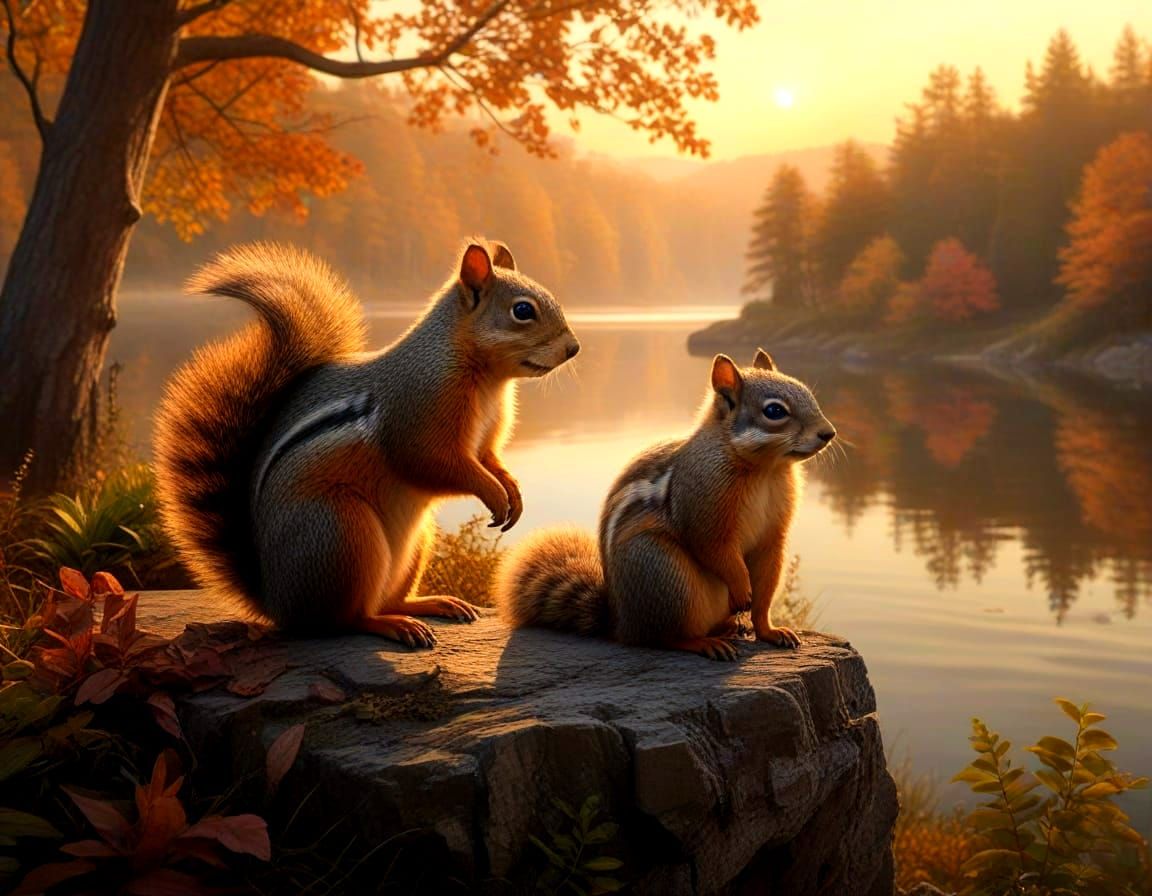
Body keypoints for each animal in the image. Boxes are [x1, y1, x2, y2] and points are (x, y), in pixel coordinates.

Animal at [154, 240, 579, 649]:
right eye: (522, 310)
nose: (573, 348)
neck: (487, 378)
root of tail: (275, 602)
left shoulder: (484, 441)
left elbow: (489, 459)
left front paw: (512, 491)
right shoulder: (416, 414)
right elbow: (432, 463)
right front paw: (492, 492)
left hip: (415, 541)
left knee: (387, 599)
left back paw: (432, 604)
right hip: (341, 535)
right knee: (344, 620)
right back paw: (390, 625)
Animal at [494, 350, 835, 661]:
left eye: (806, 391)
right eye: (775, 411)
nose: (828, 433)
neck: (765, 469)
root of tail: (619, 623)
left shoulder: (772, 538)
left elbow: (764, 595)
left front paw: (770, 632)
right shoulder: (703, 508)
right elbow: (714, 548)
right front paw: (741, 588)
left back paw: (729, 628)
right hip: (664, 574)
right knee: (665, 638)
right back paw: (704, 643)